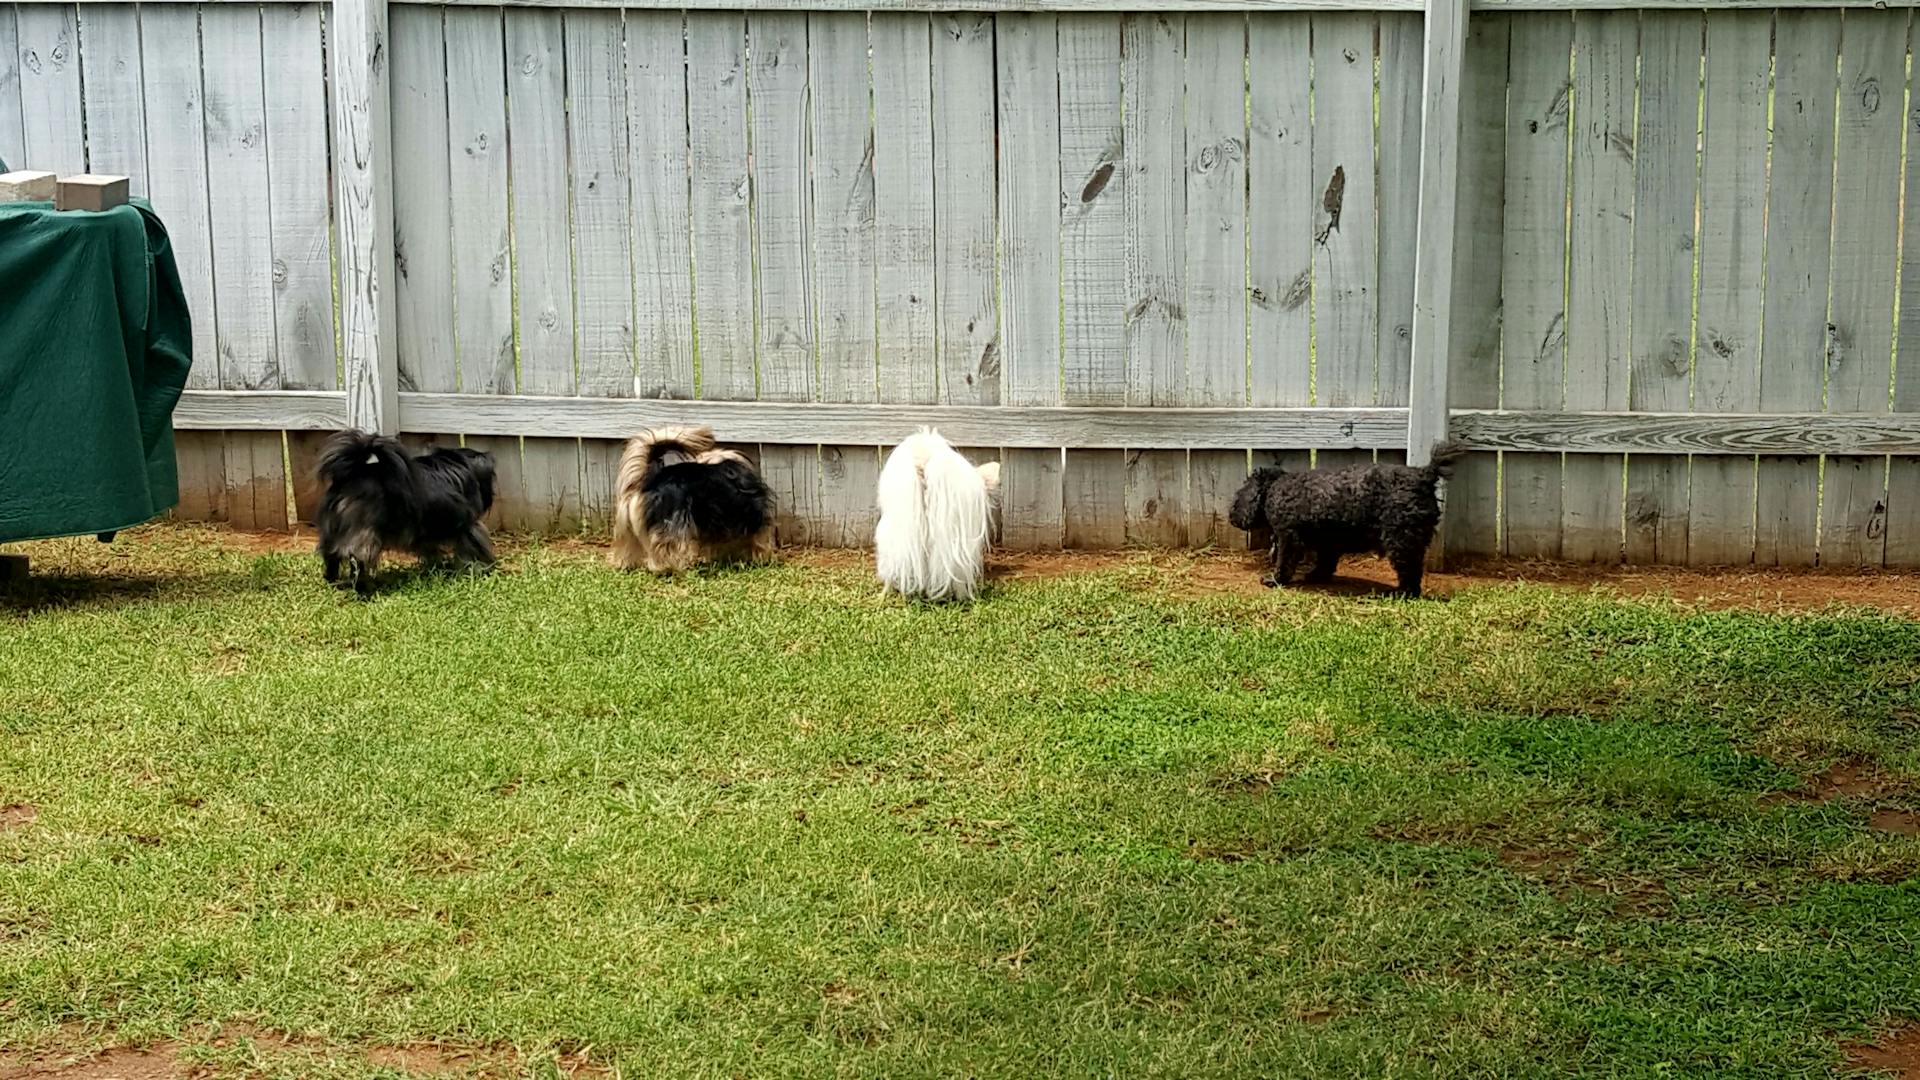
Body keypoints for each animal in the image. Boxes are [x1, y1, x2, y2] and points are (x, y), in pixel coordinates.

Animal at [1228, 443, 1466, 595]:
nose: (1231, 516)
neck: (1276, 488)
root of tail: (1425, 475)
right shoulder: (1328, 542)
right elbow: (1326, 563)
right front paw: (1317, 576)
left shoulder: (1290, 538)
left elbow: (1284, 563)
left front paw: (1275, 580)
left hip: (1402, 541)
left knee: (1411, 574)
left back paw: (1401, 593)